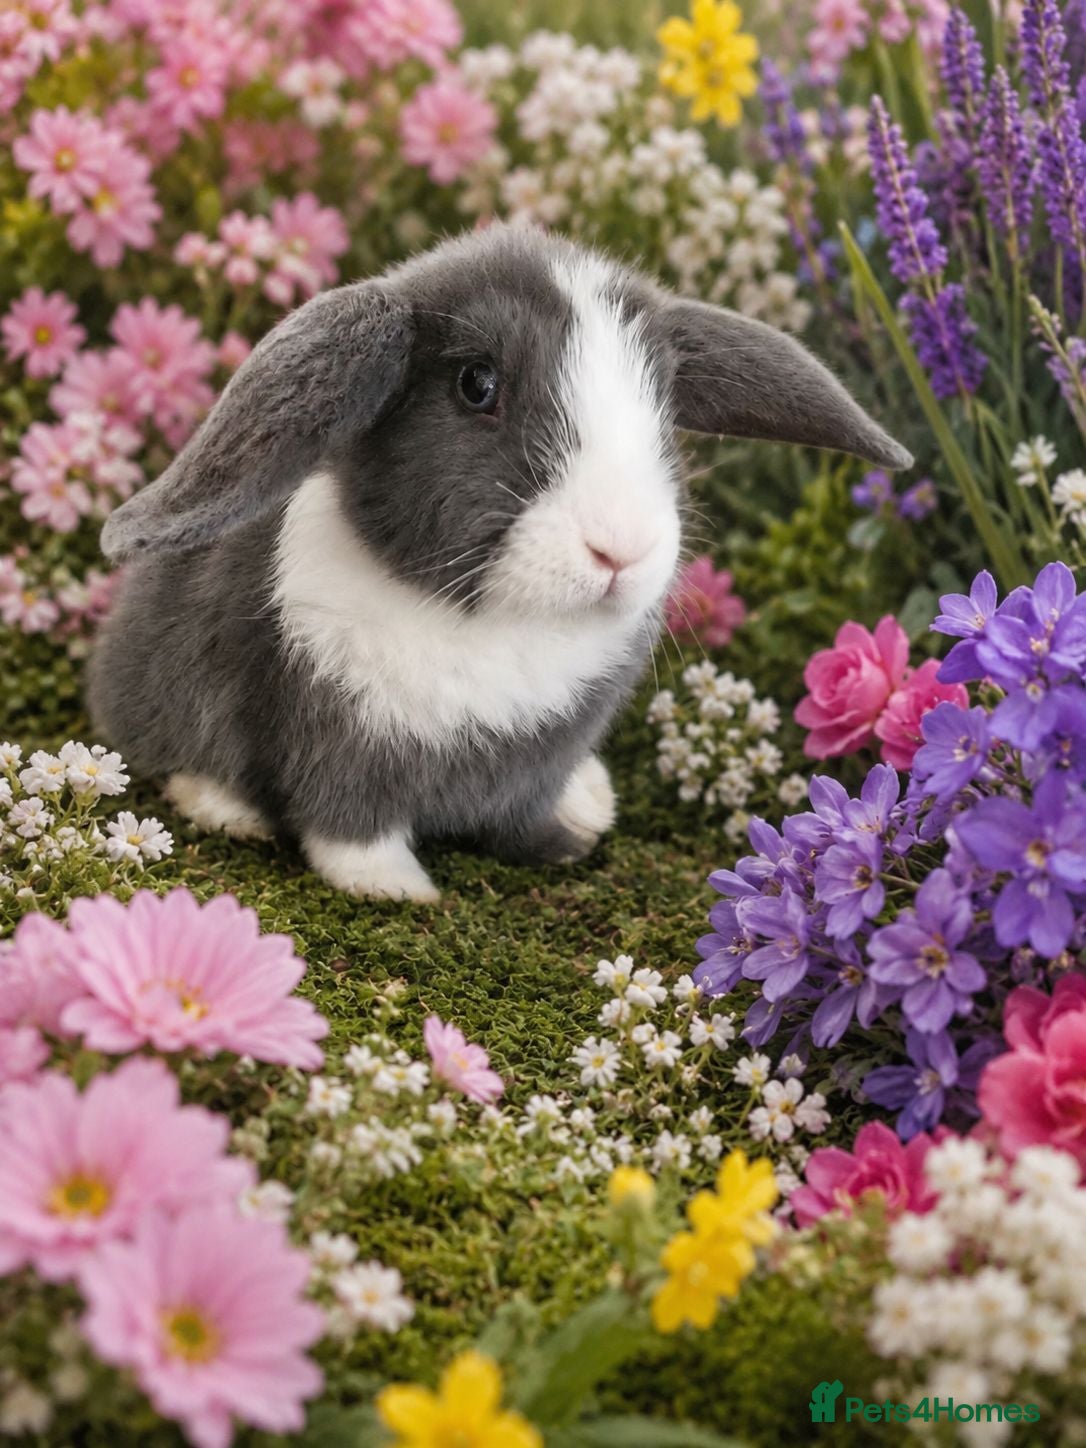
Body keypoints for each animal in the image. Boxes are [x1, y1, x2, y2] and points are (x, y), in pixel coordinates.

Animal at [88, 224, 912, 903]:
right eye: (476, 385)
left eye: (661, 405)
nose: (622, 547)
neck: (494, 621)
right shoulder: (337, 746)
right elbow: (350, 829)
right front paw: (398, 890)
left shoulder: (540, 759)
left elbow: (527, 817)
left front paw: (568, 838)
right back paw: (231, 811)